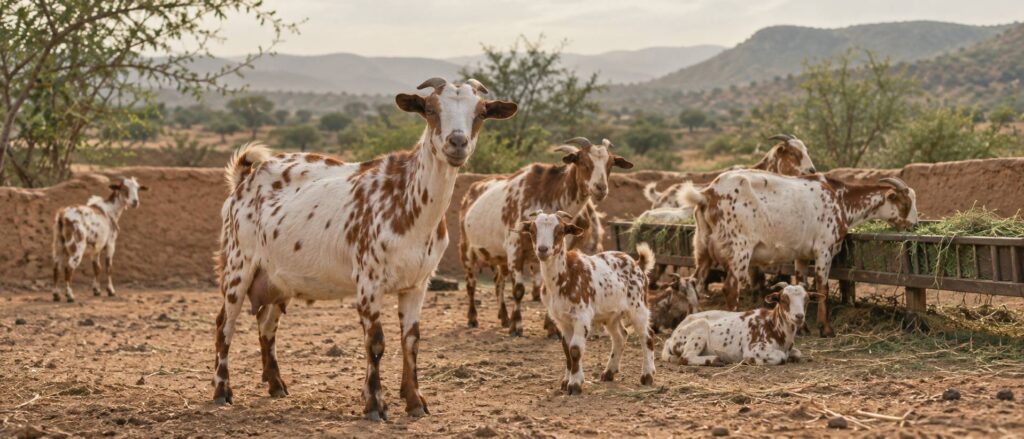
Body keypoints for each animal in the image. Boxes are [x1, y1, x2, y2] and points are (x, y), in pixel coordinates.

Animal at [211, 77, 516, 421]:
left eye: (481, 113)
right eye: (430, 109)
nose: (457, 142)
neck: (406, 199)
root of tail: (245, 179)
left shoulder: (417, 284)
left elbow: (411, 341)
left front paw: (415, 401)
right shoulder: (369, 282)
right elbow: (376, 343)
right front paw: (374, 405)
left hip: (279, 279)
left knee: (266, 325)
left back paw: (276, 385)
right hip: (237, 265)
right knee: (224, 326)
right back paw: (222, 391)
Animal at [459, 138, 633, 335]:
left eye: (610, 164)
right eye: (582, 161)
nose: (600, 188)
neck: (549, 195)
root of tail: (470, 192)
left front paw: (552, 328)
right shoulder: (515, 248)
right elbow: (518, 290)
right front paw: (516, 326)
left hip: (500, 258)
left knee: (498, 283)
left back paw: (503, 317)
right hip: (466, 249)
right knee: (471, 284)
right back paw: (473, 318)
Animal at [521, 211, 656, 394]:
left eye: (560, 231)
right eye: (533, 230)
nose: (542, 249)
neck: (564, 276)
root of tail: (637, 263)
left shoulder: (582, 316)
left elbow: (575, 350)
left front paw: (575, 385)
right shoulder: (562, 320)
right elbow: (566, 349)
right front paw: (566, 381)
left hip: (638, 306)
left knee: (647, 336)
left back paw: (647, 376)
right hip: (612, 314)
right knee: (620, 336)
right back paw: (609, 372)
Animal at [662, 282, 815, 366]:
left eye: (807, 300)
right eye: (783, 299)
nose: (799, 316)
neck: (773, 326)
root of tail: (672, 337)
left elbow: (798, 353)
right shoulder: (754, 348)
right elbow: (781, 357)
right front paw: (750, 361)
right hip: (699, 328)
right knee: (685, 357)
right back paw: (715, 360)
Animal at [682, 172, 918, 336]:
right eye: (905, 202)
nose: (914, 225)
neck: (840, 199)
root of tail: (707, 194)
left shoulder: (801, 254)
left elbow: (803, 284)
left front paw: (803, 328)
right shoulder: (824, 248)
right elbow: (822, 286)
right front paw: (825, 328)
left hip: (702, 247)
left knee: (696, 282)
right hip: (739, 249)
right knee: (730, 287)